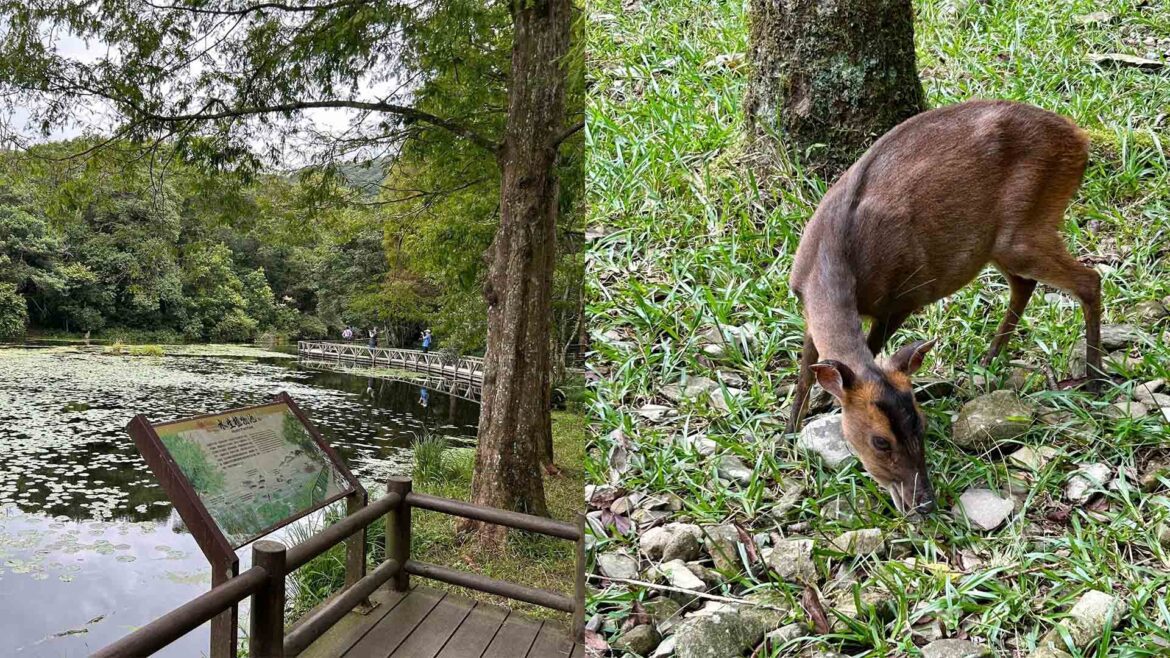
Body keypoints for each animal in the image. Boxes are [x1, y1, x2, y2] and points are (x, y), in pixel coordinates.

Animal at [786, 100, 1095, 515]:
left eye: (921, 424)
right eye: (880, 441)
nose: (924, 503)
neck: (831, 257)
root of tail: (1080, 139)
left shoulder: (901, 297)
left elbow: (868, 349)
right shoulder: (807, 306)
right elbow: (807, 371)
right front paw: (787, 433)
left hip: (1027, 228)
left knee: (1088, 280)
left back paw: (1095, 378)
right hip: (1001, 243)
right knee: (1025, 283)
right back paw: (990, 358)